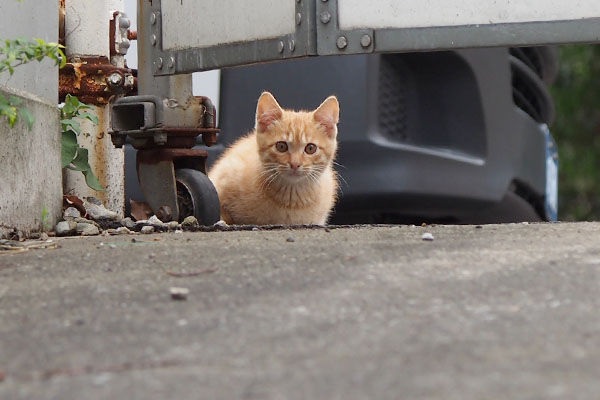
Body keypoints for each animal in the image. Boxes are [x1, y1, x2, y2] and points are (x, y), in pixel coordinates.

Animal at [207, 92, 340, 227]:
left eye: (311, 148)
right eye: (281, 146)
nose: (295, 164)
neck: (291, 199)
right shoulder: (224, 173)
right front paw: (222, 222)